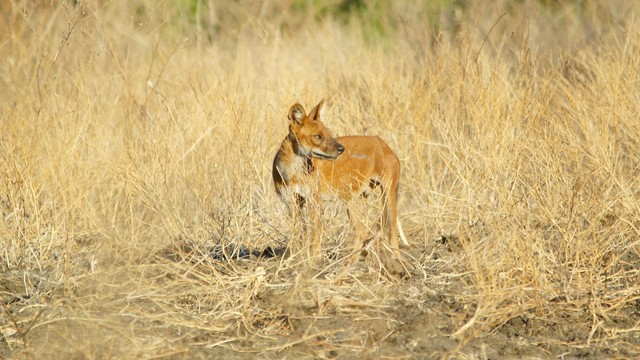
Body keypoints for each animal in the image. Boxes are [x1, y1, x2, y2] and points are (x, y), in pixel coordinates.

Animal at [272, 100, 408, 260]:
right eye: (317, 136)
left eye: (329, 135)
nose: (341, 149)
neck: (292, 172)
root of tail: (384, 144)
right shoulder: (291, 203)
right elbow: (298, 235)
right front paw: (297, 258)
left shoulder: (314, 201)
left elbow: (315, 235)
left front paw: (315, 259)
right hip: (354, 200)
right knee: (364, 232)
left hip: (385, 196)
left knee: (388, 233)